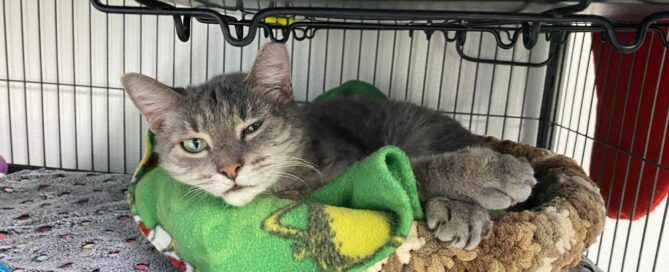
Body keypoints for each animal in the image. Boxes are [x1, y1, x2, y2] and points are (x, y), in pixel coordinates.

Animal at [121, 43, 536, 251]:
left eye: (252, 127)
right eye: (194, 144)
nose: (229, 169)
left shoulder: (364, 169)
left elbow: (412, 167)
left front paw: (491, 174)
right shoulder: (364, 176)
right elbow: (407, 170)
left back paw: (461, 208)